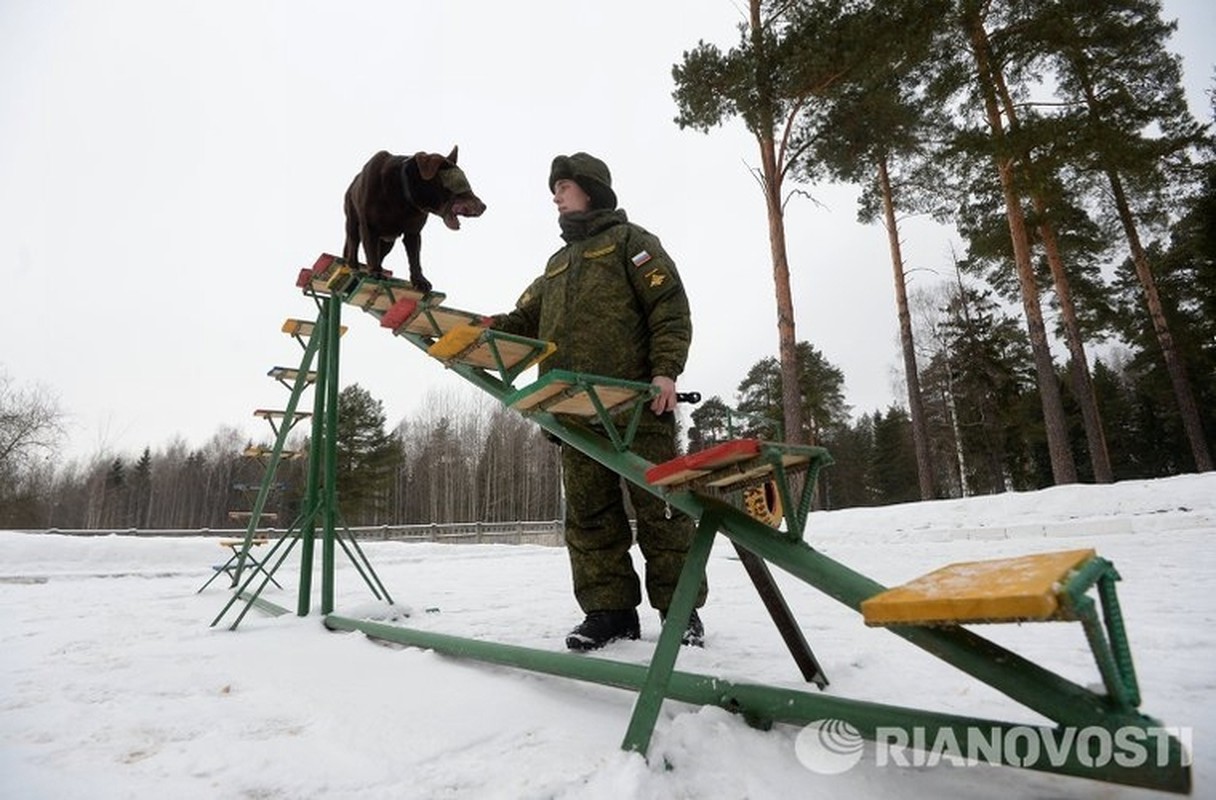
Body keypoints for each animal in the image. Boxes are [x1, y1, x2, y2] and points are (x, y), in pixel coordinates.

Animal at [340, 146, 486, 289]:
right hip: (352, 220)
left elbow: (415, 258)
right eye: (460, 182)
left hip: (388, 241)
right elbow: (371, 251)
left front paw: (420, 281)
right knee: (353, 243)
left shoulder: (413, 233)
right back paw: (354, 266)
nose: (484, 206)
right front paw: (376, 273)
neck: (403, 197)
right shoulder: (369, 227)